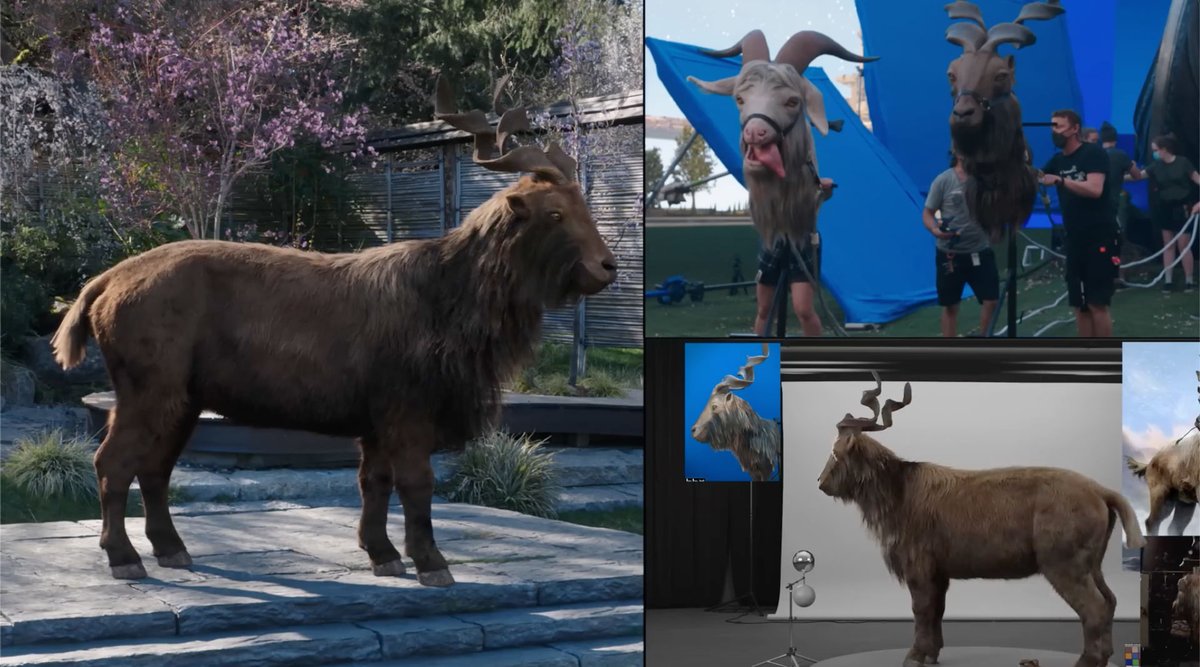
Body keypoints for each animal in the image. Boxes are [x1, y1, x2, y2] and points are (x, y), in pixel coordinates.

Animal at [48, 76, 617, 585]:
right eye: (554, 213)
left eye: (584, 206)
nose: (606, 267)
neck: (448, 296)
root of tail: (103, 284)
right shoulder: (408, 411)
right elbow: (417, 484)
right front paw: (431, 563)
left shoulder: (376, 421)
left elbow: (374, 482)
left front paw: (382, 554)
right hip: (148, 389)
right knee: (111, 462)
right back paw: (124, 557)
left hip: (184, 399)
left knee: (156, 468)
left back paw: (171, 549)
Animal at [817, 374, 1145, 667]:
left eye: (836, 451)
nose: (821, 483)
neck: (900, 491)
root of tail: (1101, 491)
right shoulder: (939, 571)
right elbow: (937, 610)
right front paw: (932, 653)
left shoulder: (919, 566)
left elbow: (921, 609)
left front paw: (915, 655)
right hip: (1092, 563)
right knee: (1110, 600)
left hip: (1065, 563)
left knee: (1095, 607)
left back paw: (1087, 660)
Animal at [1125, 371, 1200, 536]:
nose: (1198, 421)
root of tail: (1149, 463)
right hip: (1162, 496)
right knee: (1152, 522)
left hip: (1185, 502)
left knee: (1175, 527)